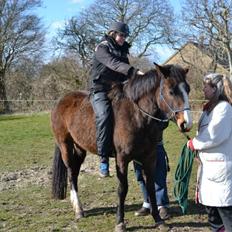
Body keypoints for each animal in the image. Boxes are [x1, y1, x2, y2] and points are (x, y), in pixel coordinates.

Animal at [50, 62, 192, 231]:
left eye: (188, 89)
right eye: (171, 91)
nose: (186, 124)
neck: (136, 115)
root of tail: (61, 100)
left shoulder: (149, 157)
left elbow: (151, 187)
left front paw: (158, 220)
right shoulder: (122, 159)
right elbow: (122, 189)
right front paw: (120, 222)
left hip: (80, 147)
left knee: (76, 172)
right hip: (65, 145)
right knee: (71, 172)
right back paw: (78, 209)